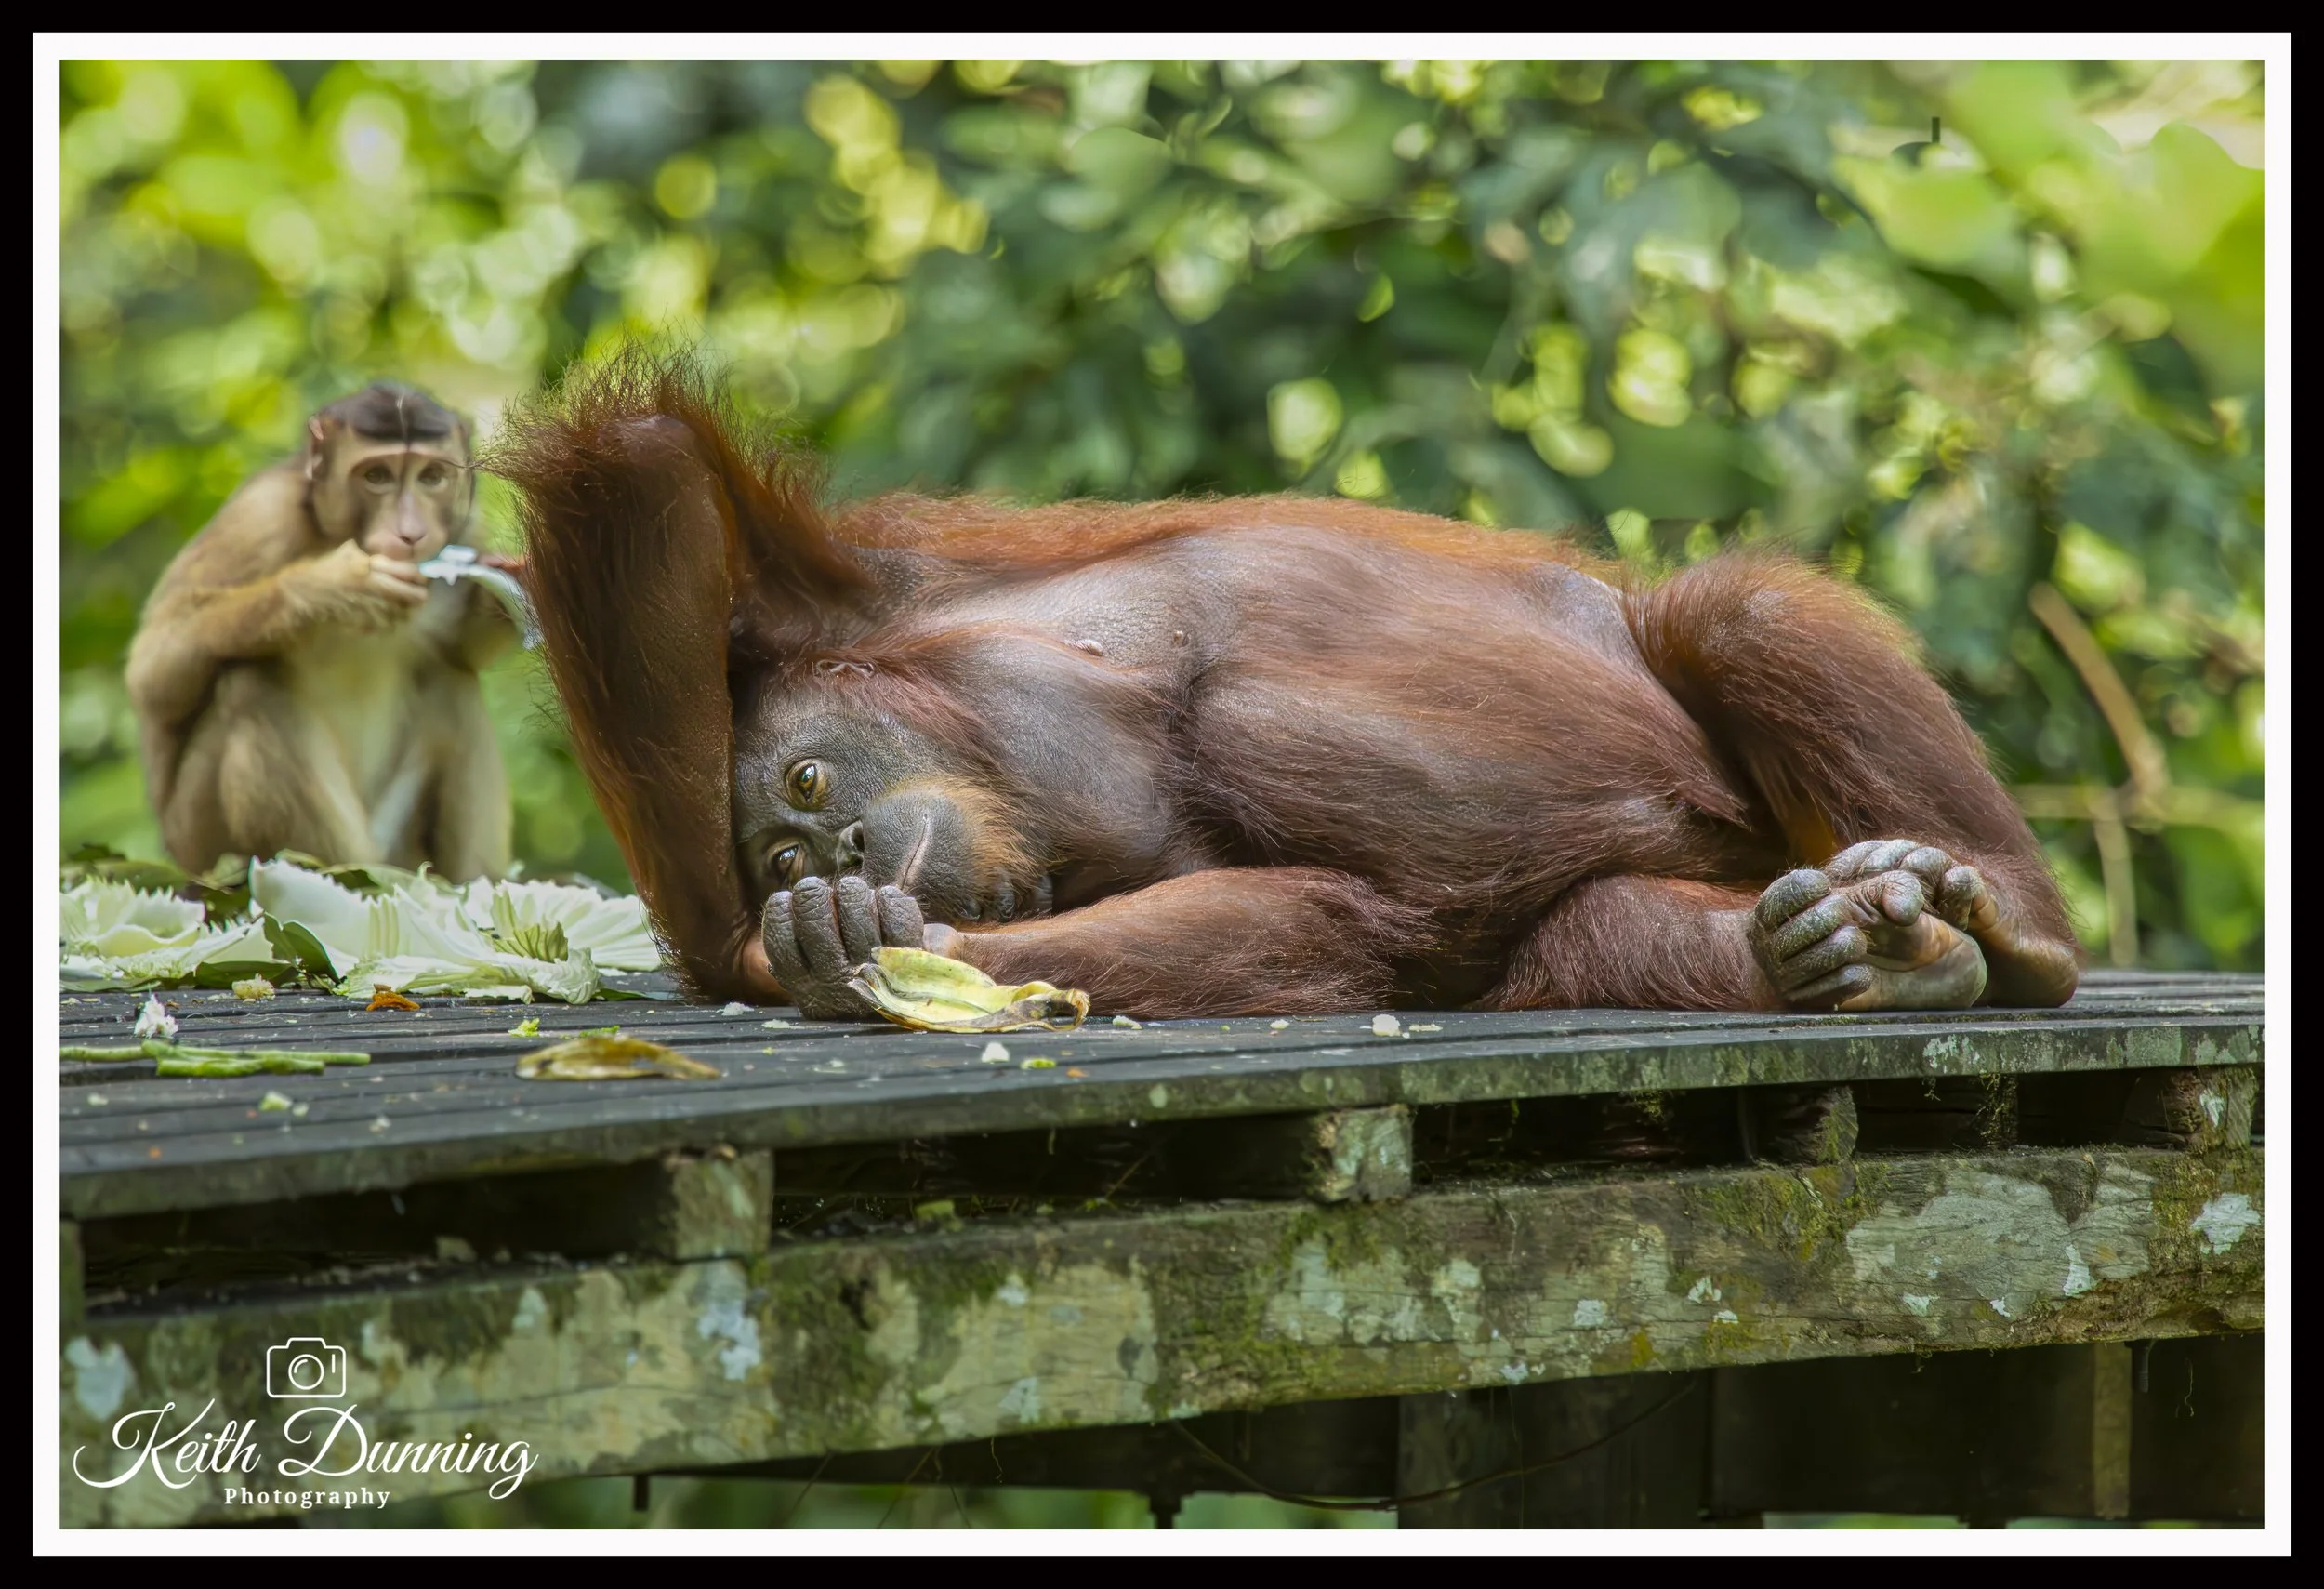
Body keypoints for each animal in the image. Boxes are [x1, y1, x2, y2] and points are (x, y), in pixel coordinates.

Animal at [124, 382, 516, 881]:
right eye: (376, 476)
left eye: (432, 476)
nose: (411, 533)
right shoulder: (259, 516)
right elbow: (153, 669)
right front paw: (329, 589)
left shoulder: (468, 530)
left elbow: (460, 649)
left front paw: (509, 594)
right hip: (198, 842)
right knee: (249, 683)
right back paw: (338, 873)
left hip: (400, 843)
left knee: (453, 685)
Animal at [491, 353, 2081, 1019]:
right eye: (784, 852)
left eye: (810, 785)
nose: (835, 856)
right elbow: (1312, 916)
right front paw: (826, 947)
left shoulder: (883, 575)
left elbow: (642, 476)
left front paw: (791, 949)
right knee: (1595, 928)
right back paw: (1843, 951)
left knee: (1735, 610)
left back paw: (2012, 923)